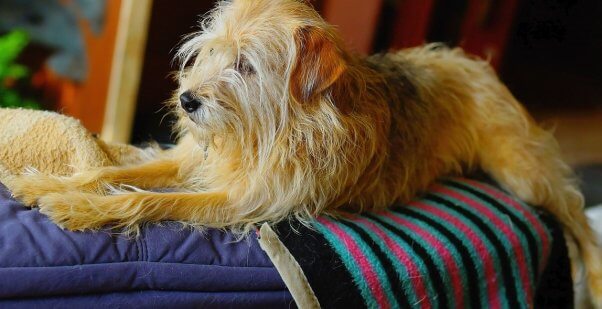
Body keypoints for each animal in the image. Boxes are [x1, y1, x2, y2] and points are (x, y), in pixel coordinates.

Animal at [9, 0, 600, 302]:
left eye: (246, 66)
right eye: (208, 53)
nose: (187, 99)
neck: (264, 132)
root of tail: (471, 60)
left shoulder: (240, 201)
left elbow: (145, 200)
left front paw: (80, 209)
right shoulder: (195, 162)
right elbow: (119, 170)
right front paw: (51, 184)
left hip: (523, 174)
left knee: (575, 213)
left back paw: (592, 274)